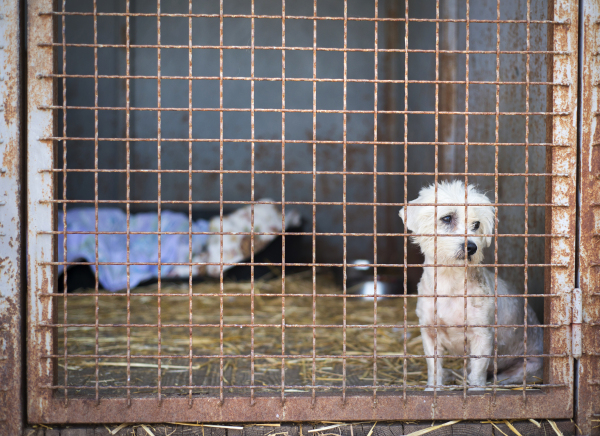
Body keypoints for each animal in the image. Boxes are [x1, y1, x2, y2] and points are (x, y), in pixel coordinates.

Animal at [398, 179, 544, 390]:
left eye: (476, 224)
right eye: (447, 218)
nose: (471, 247)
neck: (450, 283)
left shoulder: (482, 335)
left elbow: (478, 371)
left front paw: (476, 391)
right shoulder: (430, 332)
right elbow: (434, 367)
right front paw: (433, 388)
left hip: (525, 369)